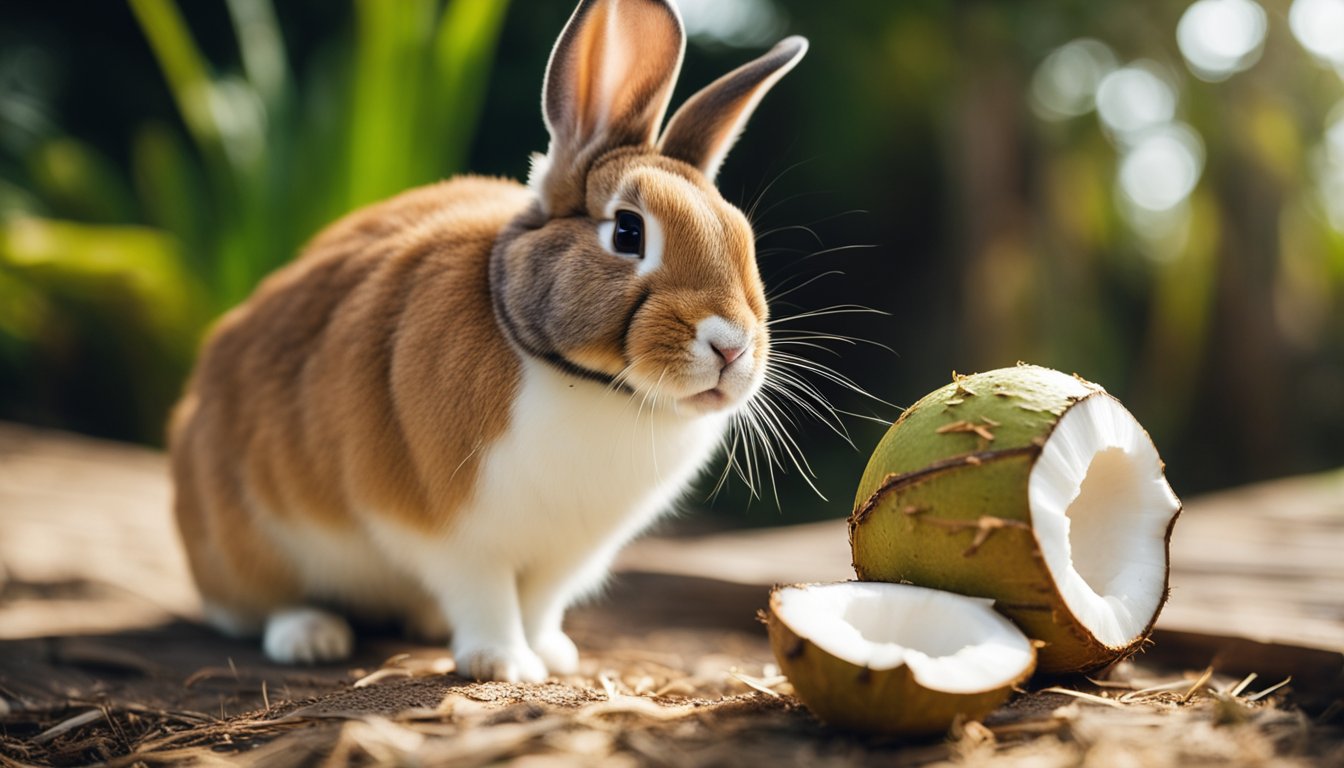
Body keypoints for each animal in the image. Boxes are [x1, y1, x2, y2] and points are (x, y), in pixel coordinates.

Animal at [169, 0, 808, 683]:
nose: (731, 347)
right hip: (248, 538)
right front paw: (506, 665)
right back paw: (311, 637)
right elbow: (487, 598)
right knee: (260, 605)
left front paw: (553, 654)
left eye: (740, 234)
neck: (583, 381)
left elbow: (541, 603)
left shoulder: (566, 555)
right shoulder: (454, 532)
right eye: (628, 232)